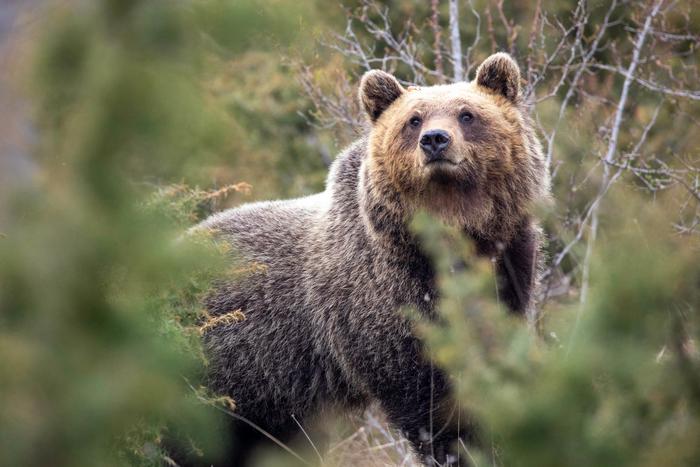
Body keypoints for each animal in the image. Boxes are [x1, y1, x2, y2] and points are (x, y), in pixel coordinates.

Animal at [189, 52, 549, 466]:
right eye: (414, 119)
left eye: (467, 114)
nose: (435, 140)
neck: (455, 236)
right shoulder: (382, 297)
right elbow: (426, 393)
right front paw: (456, 447)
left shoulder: (508, 266)